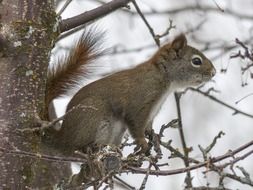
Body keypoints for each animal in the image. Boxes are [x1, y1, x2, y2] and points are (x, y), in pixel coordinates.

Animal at [45, 29, 215, 154]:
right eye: (196, 61)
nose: (213, 72)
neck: (163, 76)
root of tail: (62, 137)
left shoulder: (152, 111)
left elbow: (148, 126)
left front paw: (153, 136)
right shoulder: (140, 103)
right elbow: (136, 124)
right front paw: (143, 143)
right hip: (92, 115)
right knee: (76, 146)